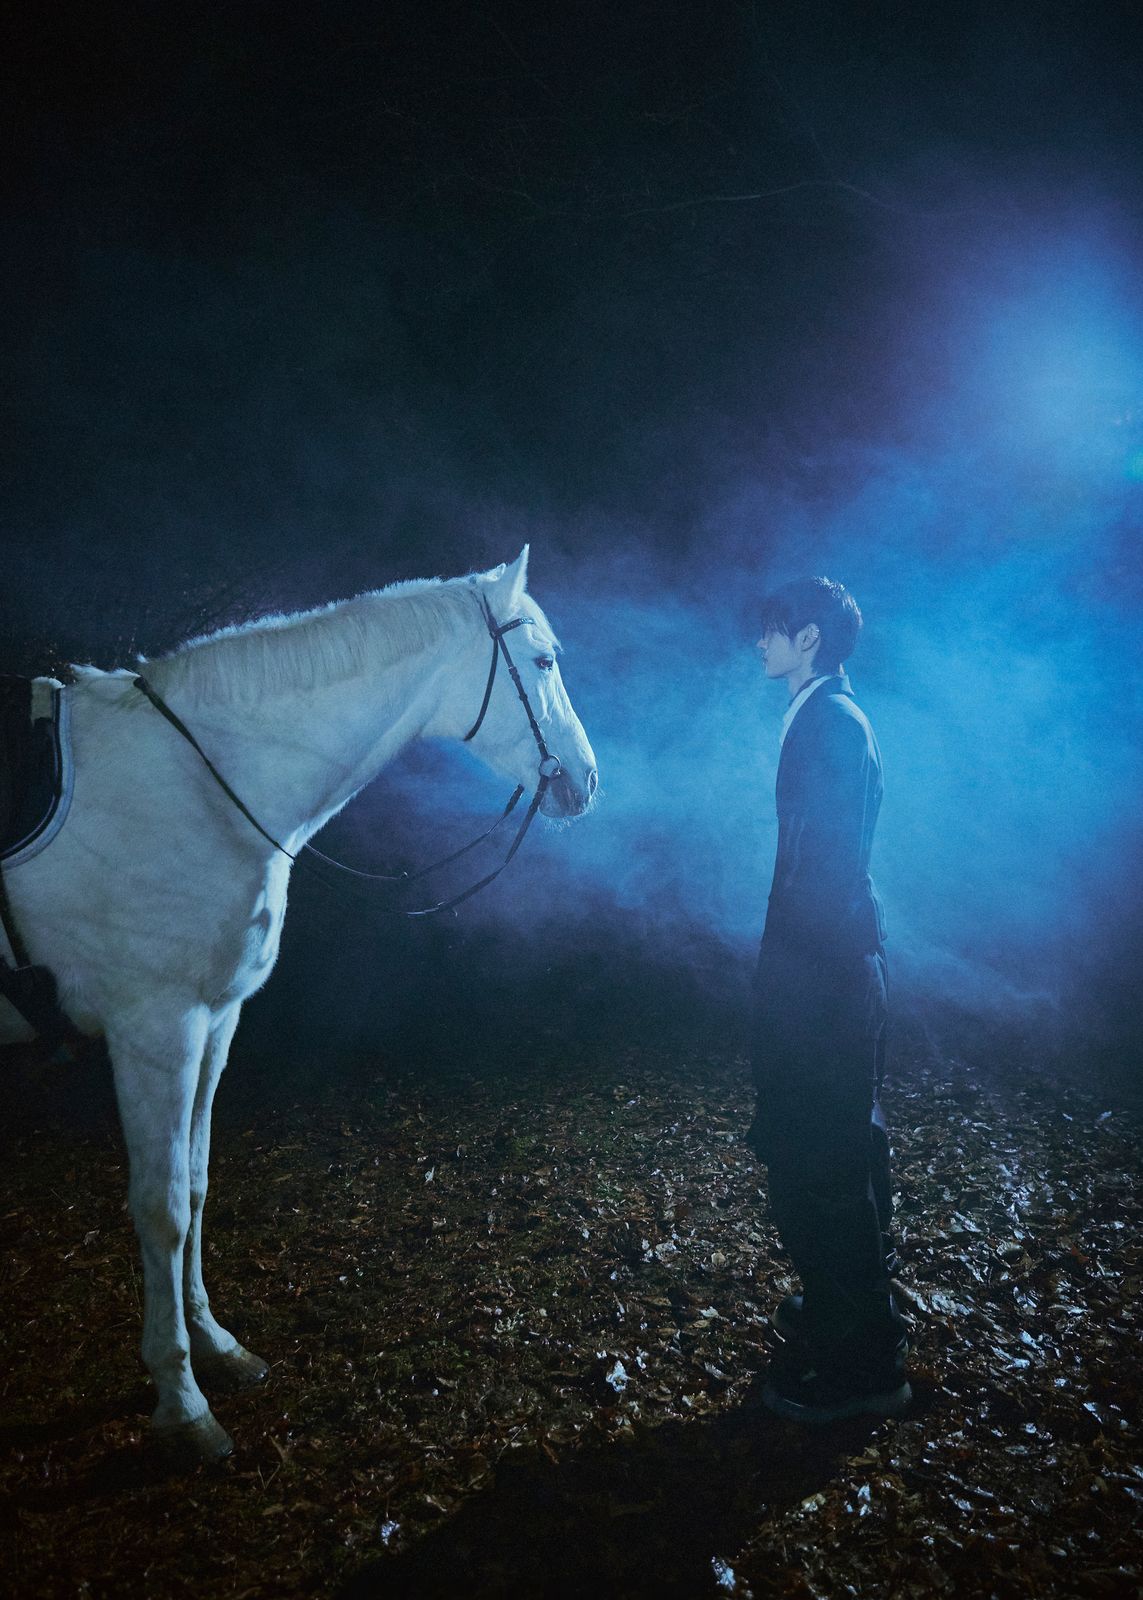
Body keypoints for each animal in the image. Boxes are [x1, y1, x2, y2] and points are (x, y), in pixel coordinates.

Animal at [0, 550, 589, 1465]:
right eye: (545, 661)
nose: (587, 781)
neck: (201, 785)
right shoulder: (154, 1029)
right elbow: (160, 1206)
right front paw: (182, 1402)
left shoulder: (214, 1020)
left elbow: (197, 1181)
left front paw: (217, 1348)